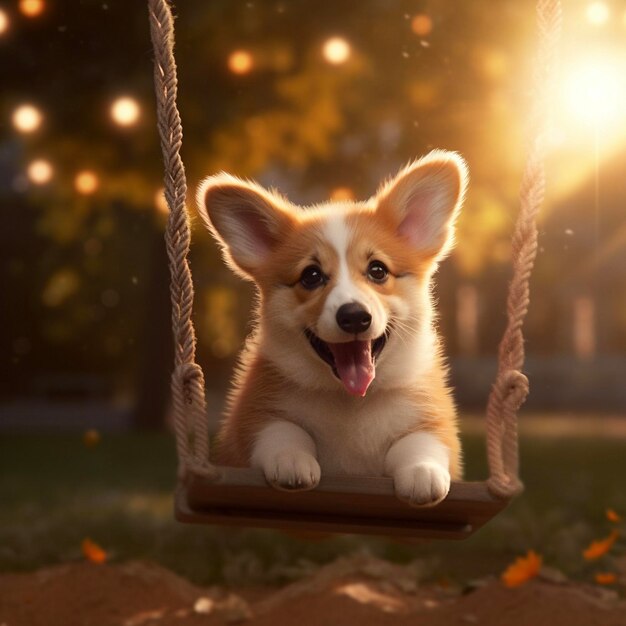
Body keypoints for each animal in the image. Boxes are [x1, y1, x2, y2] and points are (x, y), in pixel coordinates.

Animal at [197, 151, 466, 508]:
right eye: (311, 276)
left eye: (378, 270)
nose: (354, 317)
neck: (350, 402)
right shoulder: (253, 419)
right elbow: (282, 431)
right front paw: (292, 461)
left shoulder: (434, 421)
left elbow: (420, 443)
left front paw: (423, 474)